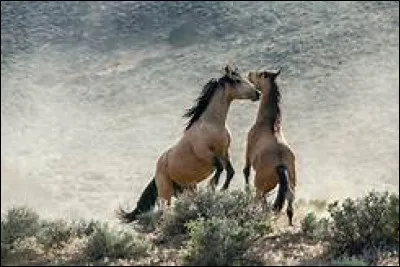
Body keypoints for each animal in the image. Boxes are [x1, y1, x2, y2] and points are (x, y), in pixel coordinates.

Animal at [116, 65, 260, 224]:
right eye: (237, 80)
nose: (257, 93)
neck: (211, 124)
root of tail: (157, 171)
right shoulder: (205, 153)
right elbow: (220, 168)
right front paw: (212, 185)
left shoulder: (224, 152)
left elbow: (230, 171)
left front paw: (222, 189)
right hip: (166, 194)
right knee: (164, 213)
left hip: (185, 190)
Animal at [242, 69, 296, 226]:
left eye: (261, 74)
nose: (249, 74)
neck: (268, 123)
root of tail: (280, 163)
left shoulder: (248, 150)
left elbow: (246, 171)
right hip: (291, 182)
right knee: (289, 201)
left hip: (261, 184)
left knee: (260, 198)